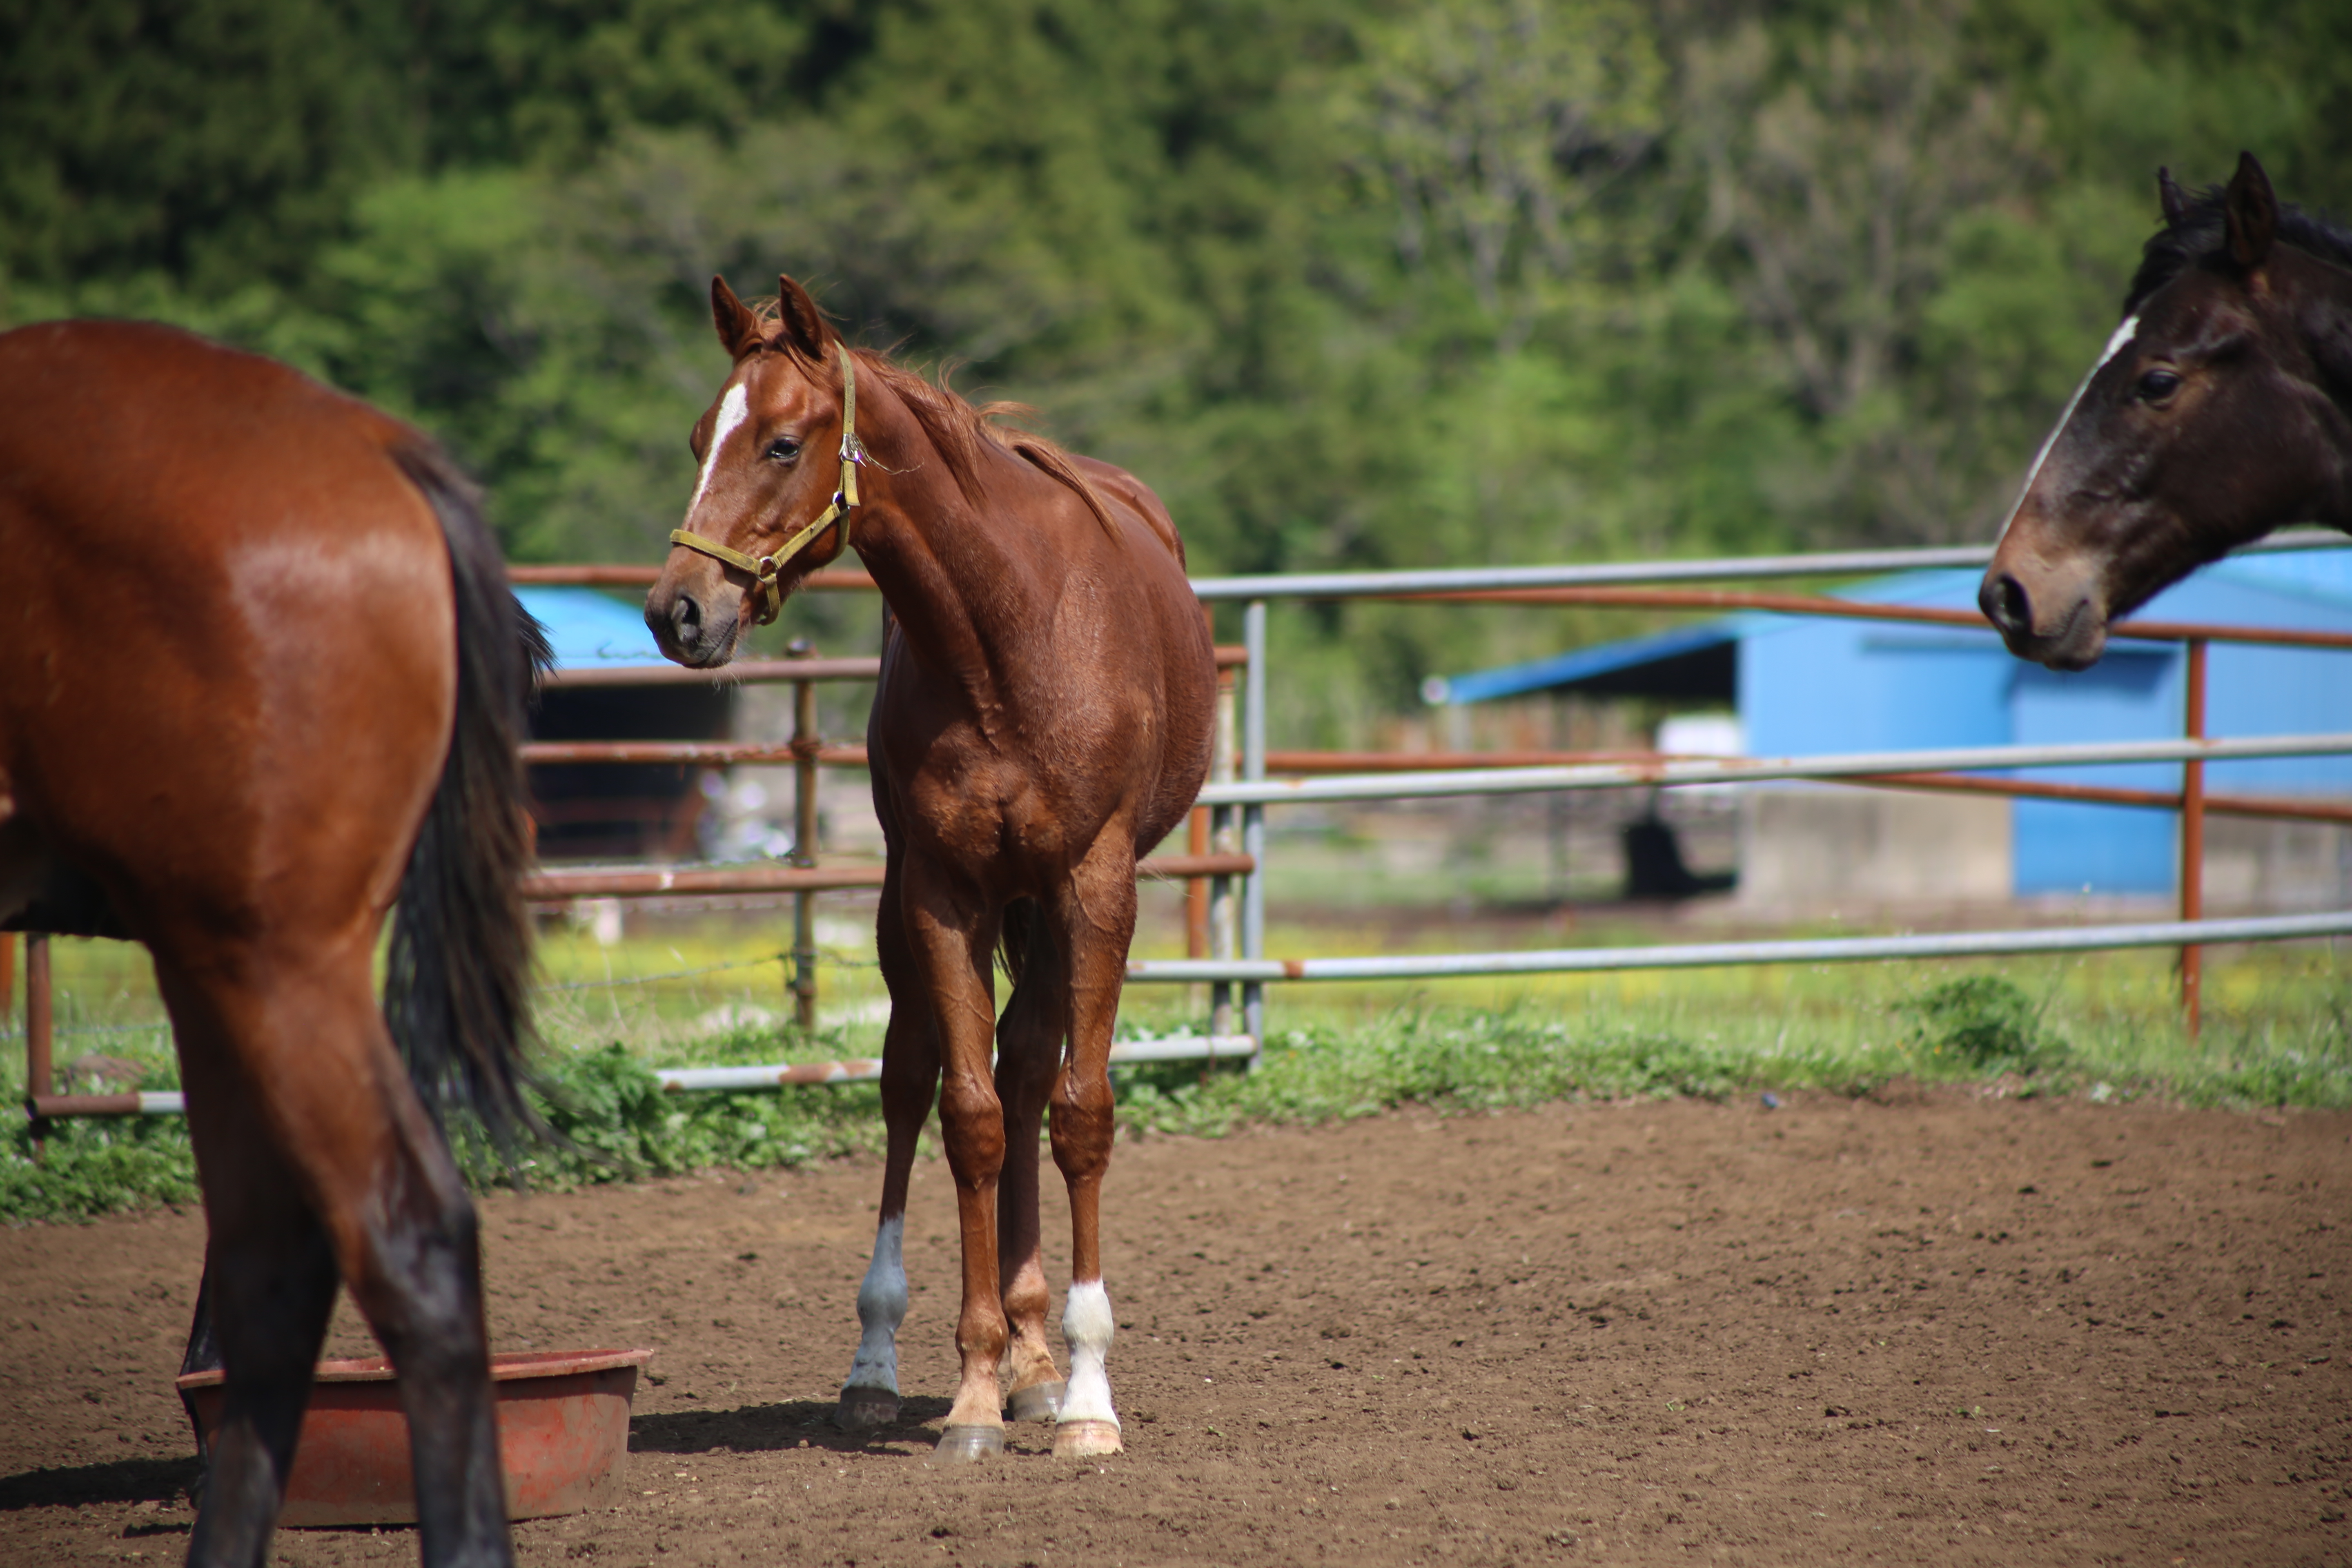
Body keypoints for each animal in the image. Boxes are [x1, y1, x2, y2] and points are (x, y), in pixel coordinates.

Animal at [644, 276, 1214, 1467]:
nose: (676, 610)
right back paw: (883, 1366)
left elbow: (1079, 1114)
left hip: (1043, 908)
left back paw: (1046, 1362)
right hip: (914, 909)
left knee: (1035, 1071)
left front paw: (1084, 1394)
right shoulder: (942, 894)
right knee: (917, 1080)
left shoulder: (1095, 889)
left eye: (779, 442)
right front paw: (977, 1389)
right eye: (699, 438)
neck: (1009, 633)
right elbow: (969, 1117)